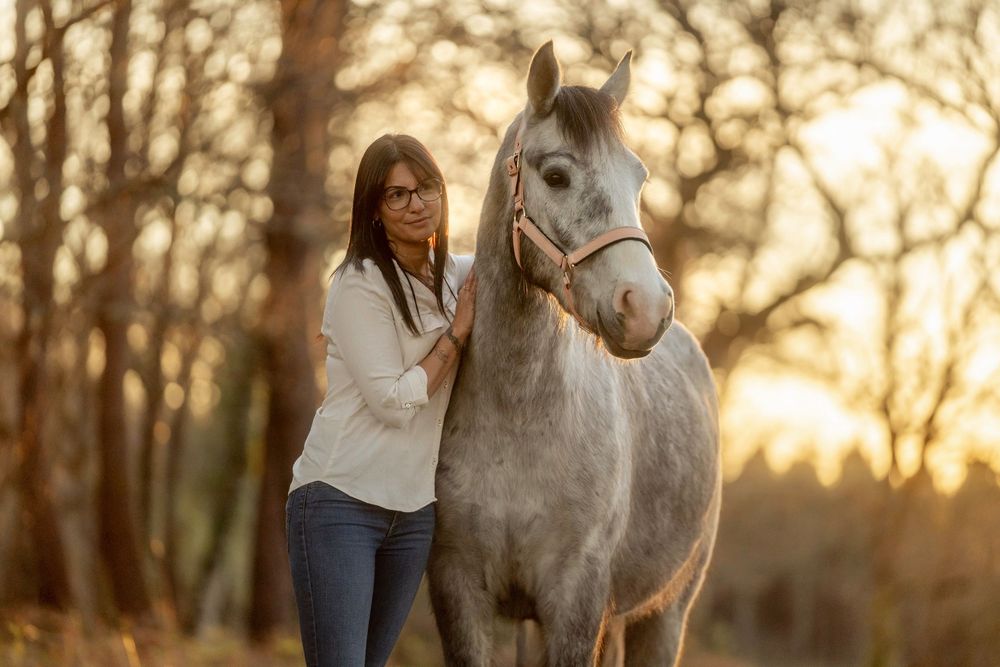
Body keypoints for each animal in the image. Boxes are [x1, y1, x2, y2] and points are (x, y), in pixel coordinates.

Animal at [429, 42, 721, 666]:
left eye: (639, 177)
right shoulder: (457, 587)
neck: (517, 417)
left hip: (665, 613)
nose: (647, 307)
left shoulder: (578, 601)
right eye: (557, 175)